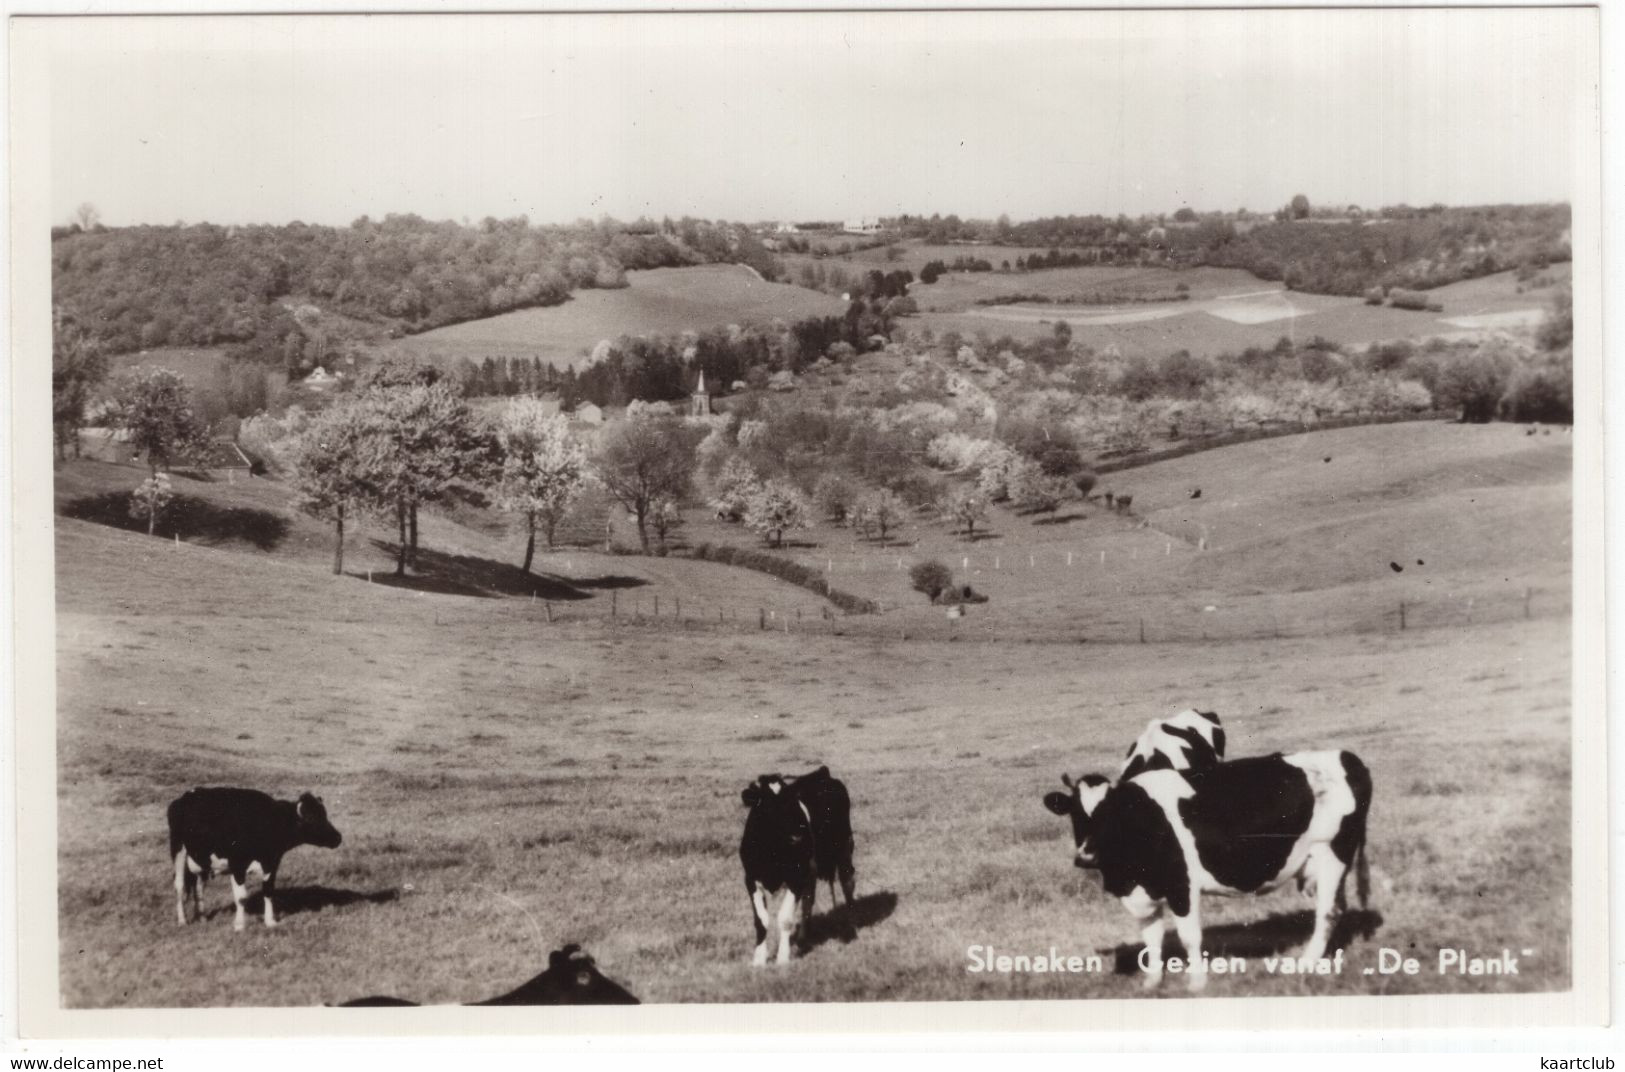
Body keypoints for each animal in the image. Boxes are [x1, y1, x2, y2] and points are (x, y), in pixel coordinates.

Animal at [167, 786, 342, 929]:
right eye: (312, 818)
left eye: (325, 814)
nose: (338, 837)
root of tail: (185, 796)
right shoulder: (237, 865)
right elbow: (241, 897)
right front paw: (239, 925)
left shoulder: (272, 863)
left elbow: (268, 892)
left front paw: (270, 921)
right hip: (178, 848)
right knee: (179, 885)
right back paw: (182, 920)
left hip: (202, 858)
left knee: (198, 886)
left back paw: (202, 917)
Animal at [741, 766, 858, 968]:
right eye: (767, 805)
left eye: (792, 803)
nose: (798, 837)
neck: (771, 850)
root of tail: (824, 773)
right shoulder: (751, 878)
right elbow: (761, 921)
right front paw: (759, 960)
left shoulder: (795, 877)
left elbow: (785, 919)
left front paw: (782, 958)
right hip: (810, 869)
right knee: (808, 900)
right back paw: (803, 937)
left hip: (844, 847)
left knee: (847, 883)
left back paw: (850, 923)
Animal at [1040, 750, 1371, 994]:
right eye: (1075, 814)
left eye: (1111, 813)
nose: (1087, 856)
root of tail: (1347, 756)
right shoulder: (1144, 891)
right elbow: (1151, 937)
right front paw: (1152, 982)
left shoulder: (1181, 886)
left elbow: (1189, 936)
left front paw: (1197, 983)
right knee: (1337, 907)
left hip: (1332, 852)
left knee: (1328, 911)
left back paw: (1306, 964)